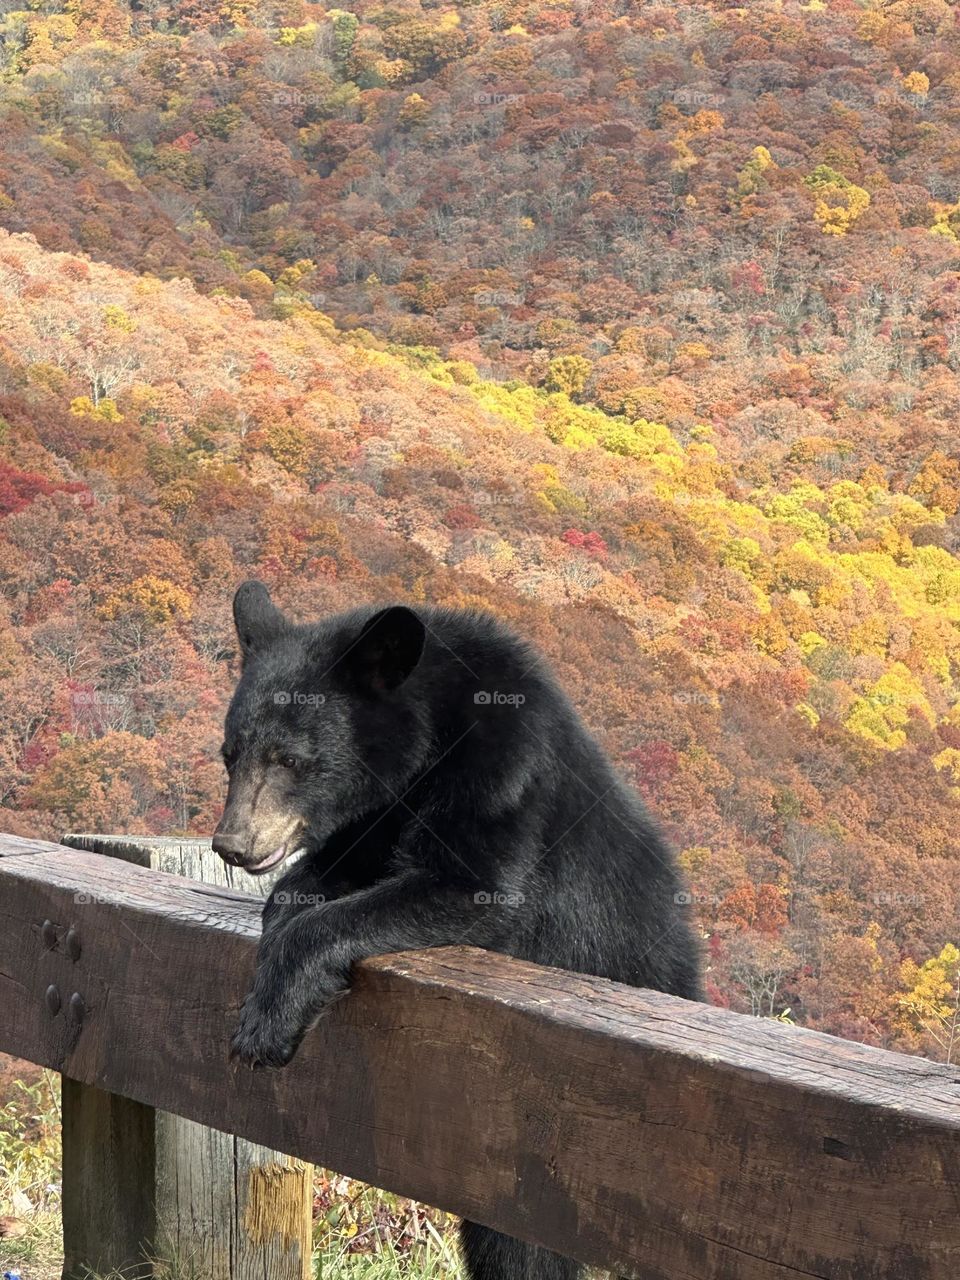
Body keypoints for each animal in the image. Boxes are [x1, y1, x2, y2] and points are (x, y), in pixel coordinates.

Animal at [213, 586, 701, 1280]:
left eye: (291, 760)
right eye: (229, 755)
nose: (231, 843)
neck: (430, 737)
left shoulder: (502, 774)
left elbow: (470, 888)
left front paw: (264, 1026)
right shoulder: (375, 820)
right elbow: (309, 884)